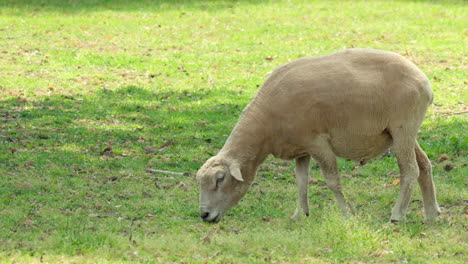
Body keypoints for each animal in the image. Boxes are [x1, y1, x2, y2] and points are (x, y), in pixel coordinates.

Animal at [196, 48, 440, 223]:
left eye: (220, 179)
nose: (204, 215)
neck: (266, 127)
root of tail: (424, 81)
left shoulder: (319, 142)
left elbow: (332, 182)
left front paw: (346, 214)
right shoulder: (301, 148)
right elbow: (301, 180)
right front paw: (300, 215)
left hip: (403, 128)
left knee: (410, 170)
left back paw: (398, 215)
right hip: (402, 132)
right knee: (424, 166)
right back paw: (431, 214)